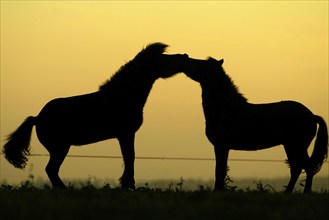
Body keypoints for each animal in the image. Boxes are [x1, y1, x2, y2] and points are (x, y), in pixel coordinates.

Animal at [2, 43, 188, 189]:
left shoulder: (124, 135)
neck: (123, 95)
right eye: (163, 58)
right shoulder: (126, 134)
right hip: (60, 148)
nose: (184, 56)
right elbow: (130, 158)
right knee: (51, 170)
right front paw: (128, 184)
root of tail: (38, 117)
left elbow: (128, 158)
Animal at [181, 56, 326, 192]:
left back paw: (304, 192)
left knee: (306, 167)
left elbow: (219, 170)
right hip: (291, 146)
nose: (185, 59)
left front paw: (217, 190)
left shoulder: (221, 146)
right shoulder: (223, 147)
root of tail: (312, 115)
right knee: (297, 168)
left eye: (202, 64)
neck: (226, 108)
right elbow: (221, 170)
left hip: (297, 145)